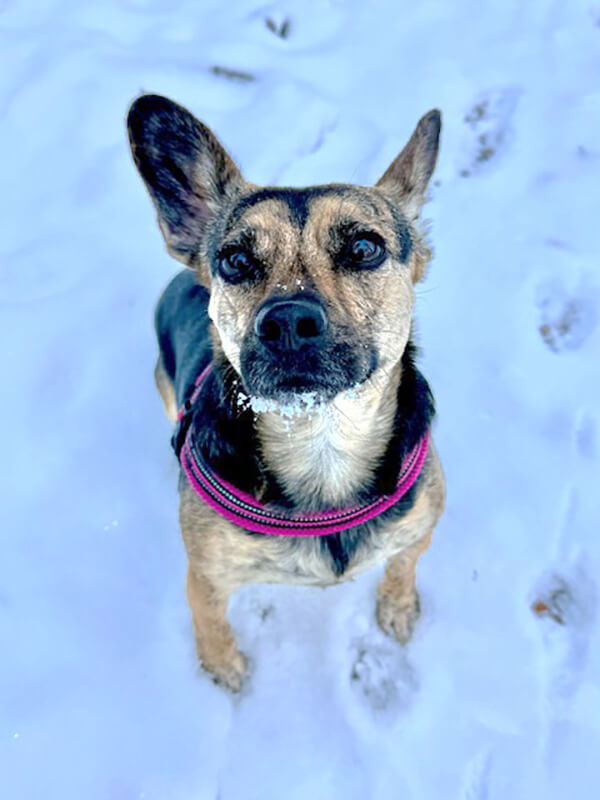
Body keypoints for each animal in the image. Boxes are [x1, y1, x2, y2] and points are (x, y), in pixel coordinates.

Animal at [127, 94, 445, 691]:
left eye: (364, 247)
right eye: (234, 260)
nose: (289, 322)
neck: (321, 441)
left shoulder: (420, 528)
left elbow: (402, 564)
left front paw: (396, 607)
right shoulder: (204, 577)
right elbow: (211, 625)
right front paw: (223, 669)